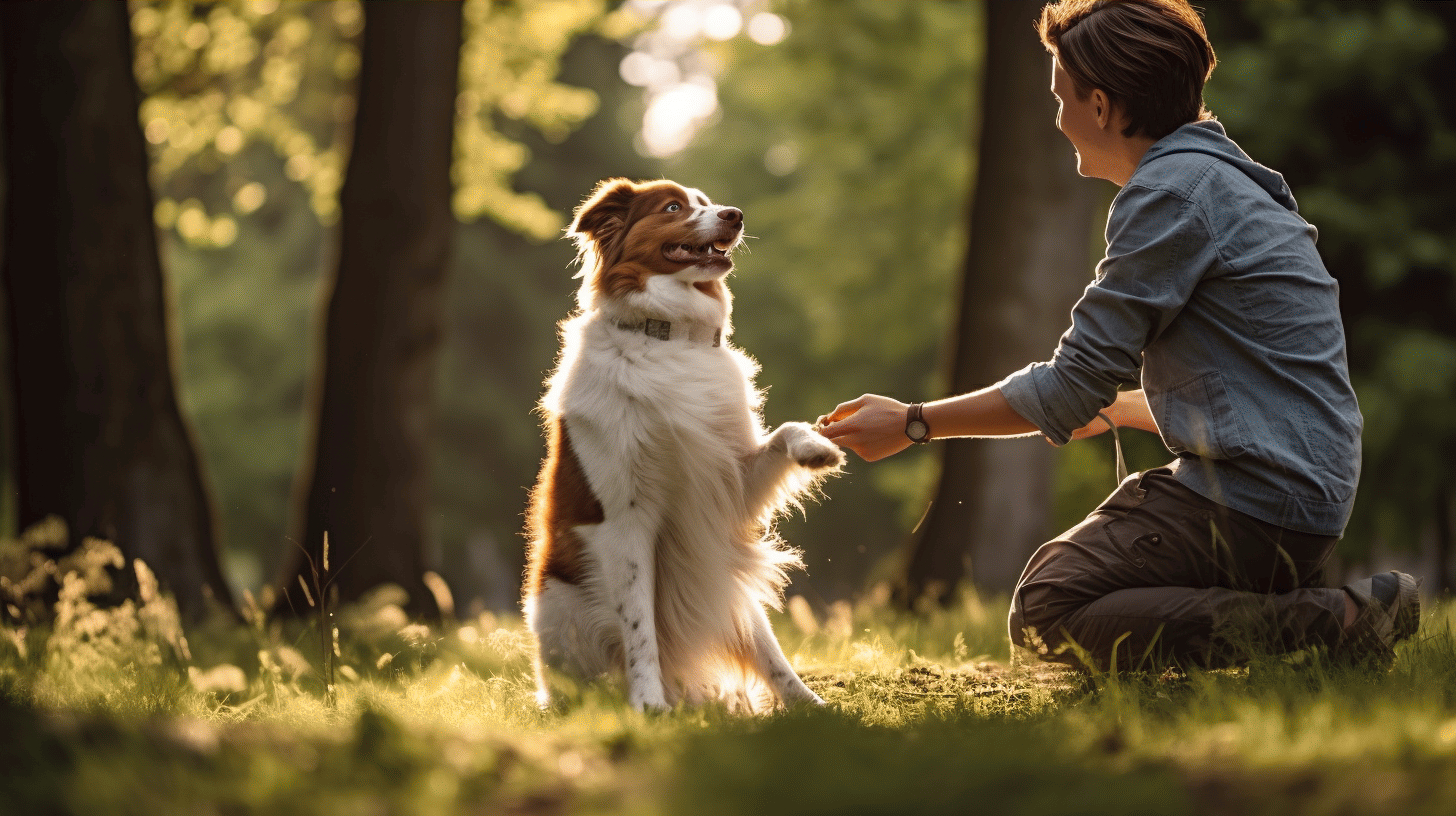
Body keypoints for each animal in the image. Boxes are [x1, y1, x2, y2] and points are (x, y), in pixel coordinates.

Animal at [524, 177, 844, 708]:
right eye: (673, 207)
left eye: (707, 203)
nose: (735, 215)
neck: (669, 338)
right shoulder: (625, 517)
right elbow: (639, 627)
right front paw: (647, 705)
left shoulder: (731, 483)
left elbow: (783, 432)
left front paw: (815, 447)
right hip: (558, 608)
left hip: (734, 589)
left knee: (767, 650)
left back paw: (809, 704)